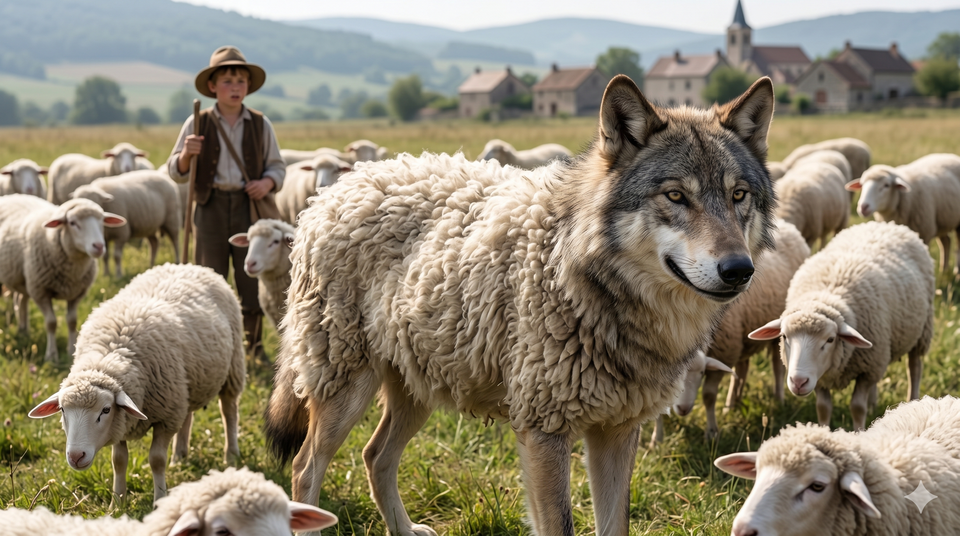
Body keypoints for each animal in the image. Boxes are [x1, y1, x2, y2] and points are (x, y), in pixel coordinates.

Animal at [264, 75, 777, 536]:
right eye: (676, 196)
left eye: (738, 195)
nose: (739, 269)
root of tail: (333, 191)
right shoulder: (543, 431)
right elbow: (561, 525)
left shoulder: (616, 432)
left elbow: (616, 524)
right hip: (344, 390)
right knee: (306, 467)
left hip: (417, 391)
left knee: (375, 457)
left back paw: (405, 530)